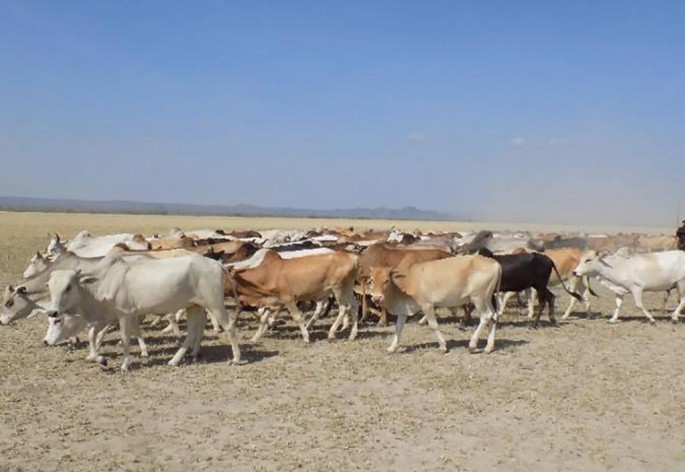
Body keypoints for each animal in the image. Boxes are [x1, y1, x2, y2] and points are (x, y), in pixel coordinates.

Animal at [44, 253, 242, 371]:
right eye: (50, 286)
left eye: (68, 286)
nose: (53, 312)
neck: (103, 282)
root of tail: (215, 263)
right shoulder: (109, 316)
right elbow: (93, 335)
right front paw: (98, 358)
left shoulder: (124, 314)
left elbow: (125, 338)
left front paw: (124, 365)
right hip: (194, 306)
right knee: (193, 331)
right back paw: (177, 359)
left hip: (214, 302)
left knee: (228, 326)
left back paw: (236, 358)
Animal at [368, 255, 502, 354]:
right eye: (371, 280)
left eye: (386, 280)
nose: (377, 297)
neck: (409, 279)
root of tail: (495, 263)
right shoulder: (403, 311)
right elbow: (398, 328)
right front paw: (392, 348)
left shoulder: (426, 305)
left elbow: (433, 325)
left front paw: (443, 346)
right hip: (487, 298)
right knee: (493, 316)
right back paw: (489, 347)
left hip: (478, 298)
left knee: (486, 316)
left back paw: (472, 345)